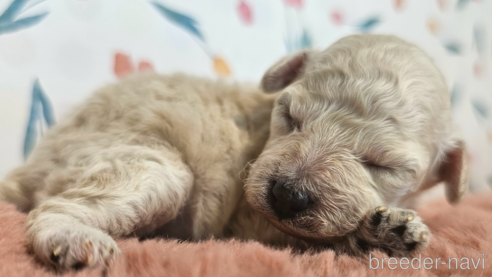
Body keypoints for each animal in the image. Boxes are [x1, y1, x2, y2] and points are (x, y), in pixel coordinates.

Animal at [0, 34, 468, 270]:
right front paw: (374, 232)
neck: (262, 135)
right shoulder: (251, 218)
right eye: (291, 117)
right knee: (53, 208)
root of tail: (30, 165)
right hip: (146, 167)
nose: (287, 196)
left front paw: (388, 226)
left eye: (381, 164)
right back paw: (71, 238)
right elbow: (312, 235)